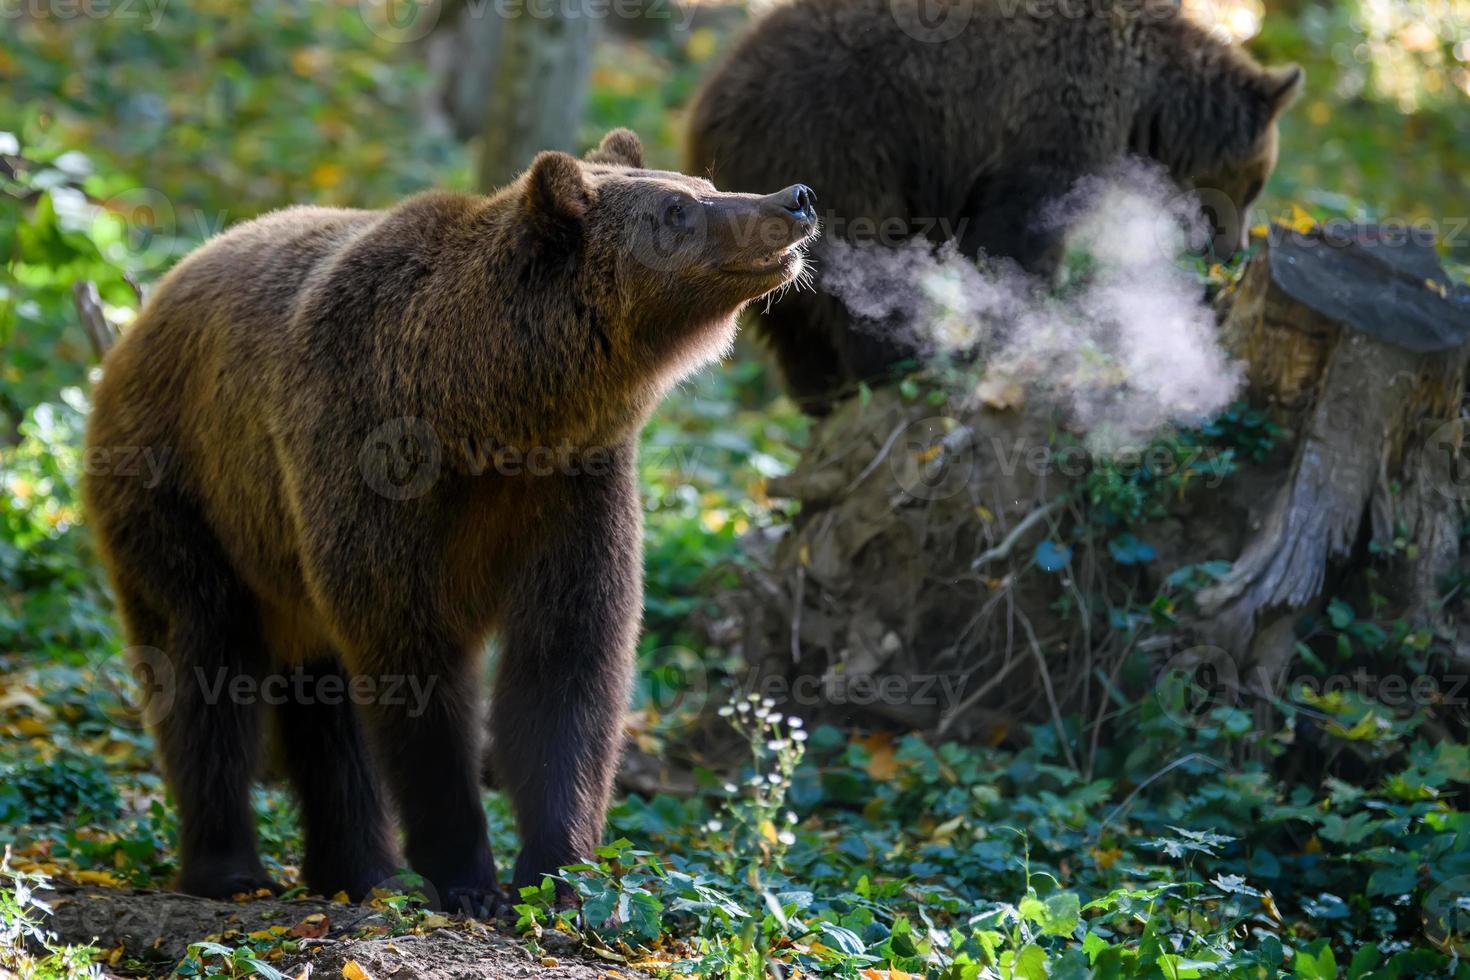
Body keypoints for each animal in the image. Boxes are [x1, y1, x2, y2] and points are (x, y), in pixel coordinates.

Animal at [83, 128, 817, 910]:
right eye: (677, 208)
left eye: (703, 184)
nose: (793, 199)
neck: (482, 410)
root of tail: (141, 315)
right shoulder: (370, 464)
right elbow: (415, 667)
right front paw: (469, 878)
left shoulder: (573, 488)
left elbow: (567, 666)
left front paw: (558, 872)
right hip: (185, 492)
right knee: (202, 663)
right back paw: (230, 869)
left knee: (319, 699)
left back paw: (356, 871)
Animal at [682, 0, 1305, 411]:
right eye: (1255, 184)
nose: (1233, 251)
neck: (1147, 98)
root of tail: (708, 107)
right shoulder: (1051, 110)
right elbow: (1021, 226)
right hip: (840, 139)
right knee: (860, 259)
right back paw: (893, 361)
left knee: (788, 312)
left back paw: (823, 391)